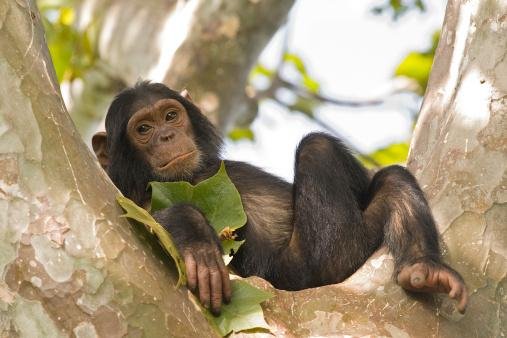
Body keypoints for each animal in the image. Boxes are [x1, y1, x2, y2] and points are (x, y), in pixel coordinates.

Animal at [92, 80, 468, 316]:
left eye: (171, 115)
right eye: (143, 129)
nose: (167, 136)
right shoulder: (132, 198)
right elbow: (146, 218)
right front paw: (198, 243)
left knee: (391, 181)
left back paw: (424, 268)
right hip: (324, 264)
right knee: (318, 149)